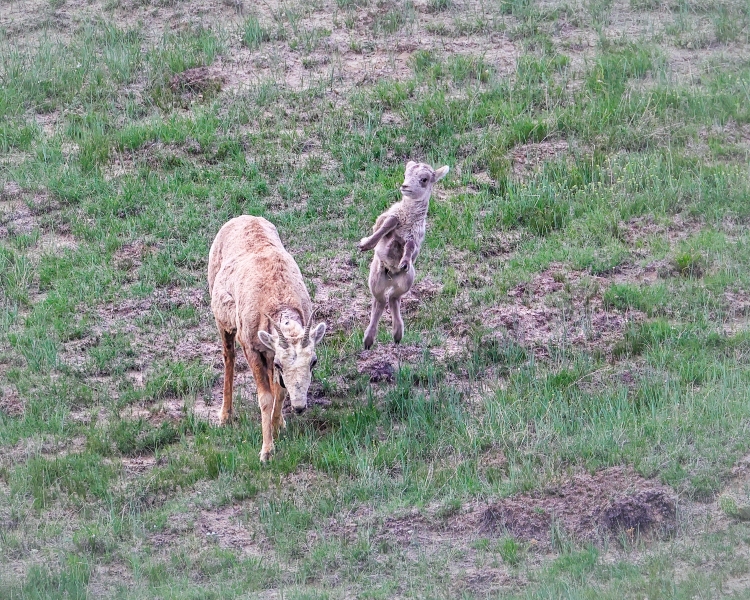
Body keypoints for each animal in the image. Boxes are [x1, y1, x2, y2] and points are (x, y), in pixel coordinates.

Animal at [209, 217, 326, 464]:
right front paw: (266, 452)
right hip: (223, 324)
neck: (278, 298)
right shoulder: (253, 349)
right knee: (228, 357)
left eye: (314, 361)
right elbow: (265, 398)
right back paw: (225, 416)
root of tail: (242, 217)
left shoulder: (273, 355)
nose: (300, 407)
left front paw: (278, 425)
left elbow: (279, 391)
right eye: (282, 364)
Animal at [356, 162, 446, 350]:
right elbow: (386, 226)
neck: (408, 218)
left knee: (392, 299)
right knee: (380, 301)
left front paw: (404, 262)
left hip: (406, 282)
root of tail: (391, 277)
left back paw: (396, 335)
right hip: (375, 281)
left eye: (424, 179)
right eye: (405, 174)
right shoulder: (391, 217)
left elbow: (410, 248)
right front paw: (365, 244)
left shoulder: (414, 238)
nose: (405, 186)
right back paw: (369, 340)